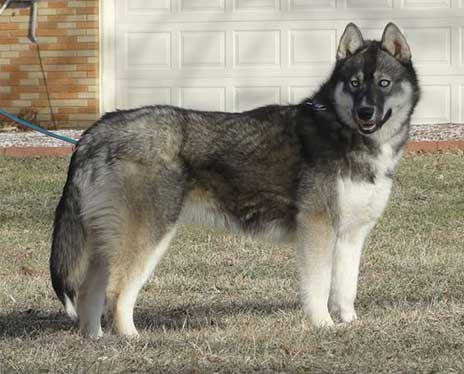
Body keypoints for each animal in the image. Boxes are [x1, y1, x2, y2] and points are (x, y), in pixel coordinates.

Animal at [49, 24, 420, 338]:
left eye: (383, 83)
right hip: (147, 236)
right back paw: (131, 338)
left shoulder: (351, 237)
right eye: (354, 83)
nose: (365, 112)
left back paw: (95, 339)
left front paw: (349, 323)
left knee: (89, 292)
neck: (344, 132)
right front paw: (323, 325)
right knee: (116, 294)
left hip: (105, 241)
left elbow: (345, 289)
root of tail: (98, 129)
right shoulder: (318, 229)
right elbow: (317, 288)